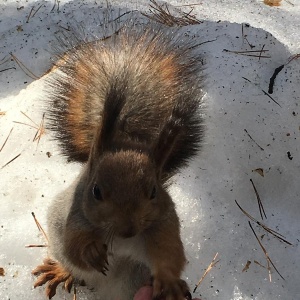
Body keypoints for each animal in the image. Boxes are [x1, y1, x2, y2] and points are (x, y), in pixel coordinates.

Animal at [32, 18, 204, 300]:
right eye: (96, 191)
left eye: (154, 191)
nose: (128, 229)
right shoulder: (75, 214)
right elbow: (74, 245)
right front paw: (91, 251)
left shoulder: (164, 224)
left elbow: (170, 254)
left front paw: (170, 283)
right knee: (71, 264)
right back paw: (60, 271)